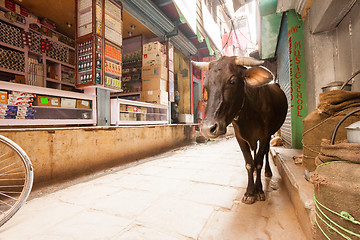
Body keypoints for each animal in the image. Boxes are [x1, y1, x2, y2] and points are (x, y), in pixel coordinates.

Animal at [191, 56, 286, 204]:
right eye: (205, 84)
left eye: (232, 81)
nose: (207, 128)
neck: (249, 114)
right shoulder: (240, 138)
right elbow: (249, 163)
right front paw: (250, 192)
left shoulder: (265, 135)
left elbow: (258, 162)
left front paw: (259, 190)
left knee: (265, 153)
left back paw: (268, 172)